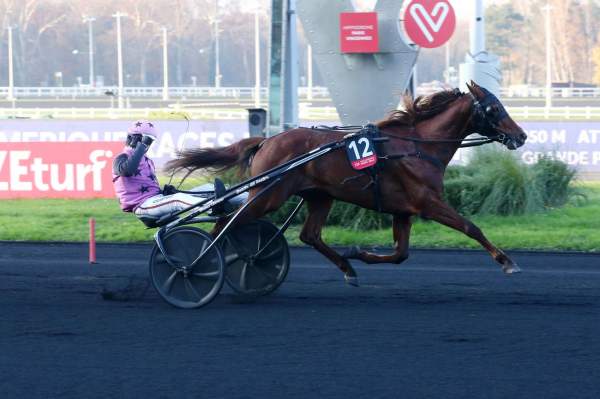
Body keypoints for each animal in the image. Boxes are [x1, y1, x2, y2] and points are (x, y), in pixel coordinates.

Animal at [164, 82, 524, 288]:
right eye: (494, 108)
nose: (521, 136)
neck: (417, 145)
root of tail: (267, 140)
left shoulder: (403, 210)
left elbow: (401, 254)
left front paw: (359, 253)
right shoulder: (427, 202)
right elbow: (470, 227)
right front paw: (507, 262)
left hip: (319, 196)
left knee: (309, 235)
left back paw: (345, 266)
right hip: (269, 195)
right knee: (225, 223)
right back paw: (197, 265)